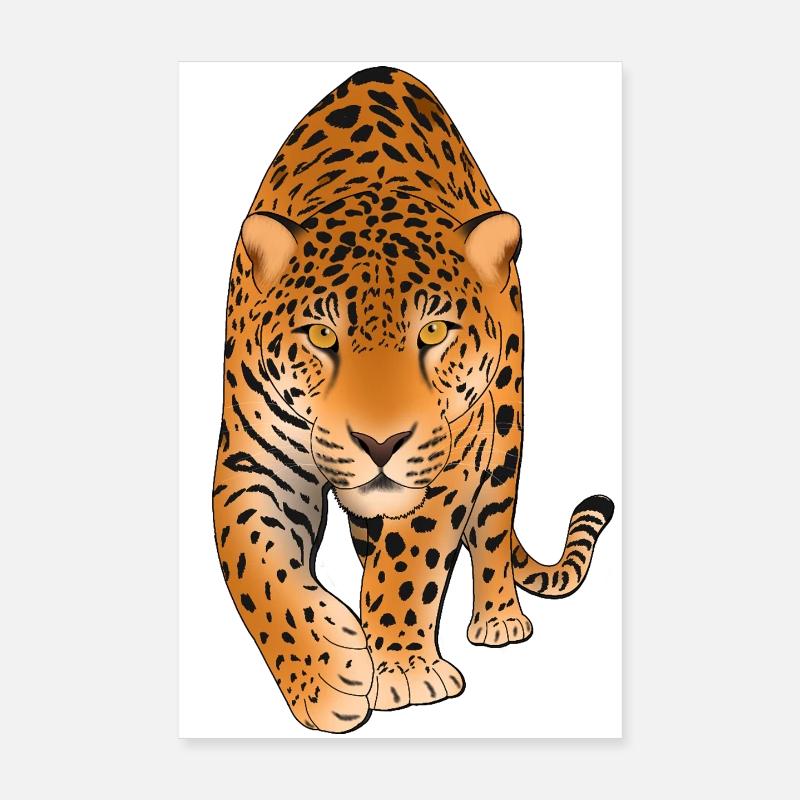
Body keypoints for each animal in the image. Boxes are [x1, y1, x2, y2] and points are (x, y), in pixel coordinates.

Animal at [212, 66, 615, 734]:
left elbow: (411, 560)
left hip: (505, 426)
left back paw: (499, 617)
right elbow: (255, 564)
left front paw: (400, 667)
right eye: (323, 336)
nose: (380, 444)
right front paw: (326, 674)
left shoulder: (452, 457)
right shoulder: (253, 459)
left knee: (494, 526)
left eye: (432, 332)